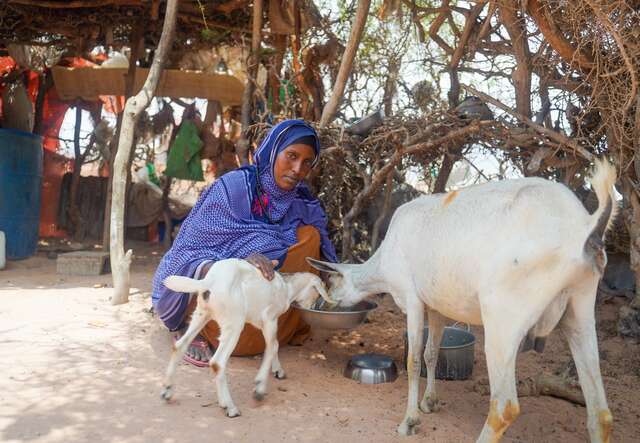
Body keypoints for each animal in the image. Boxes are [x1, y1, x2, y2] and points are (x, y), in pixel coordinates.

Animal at [160, 258, 330, 417]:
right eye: (317, 293)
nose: (315, 307)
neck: (287, 288)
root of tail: (208, 281)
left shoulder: (262, 323)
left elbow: (272, 344)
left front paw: (278, 370)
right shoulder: (270, 318)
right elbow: (274, 345)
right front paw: (259, 387)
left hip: (202, 313)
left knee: (179, 345)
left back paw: (167, 390)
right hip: (234, 323)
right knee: (217, 362)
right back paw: (230, 407)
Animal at [309, 159, 617, 443]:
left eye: (330, 283)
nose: (322, 306)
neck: (385, 259)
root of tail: (585, 228)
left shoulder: (411, 298)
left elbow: (413, 360)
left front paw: (409, 422)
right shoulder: (437, 306)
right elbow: (431, 354)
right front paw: (430, 403)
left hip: (503, 320)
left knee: (505, 407)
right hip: (580, 308)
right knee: (600, 413)